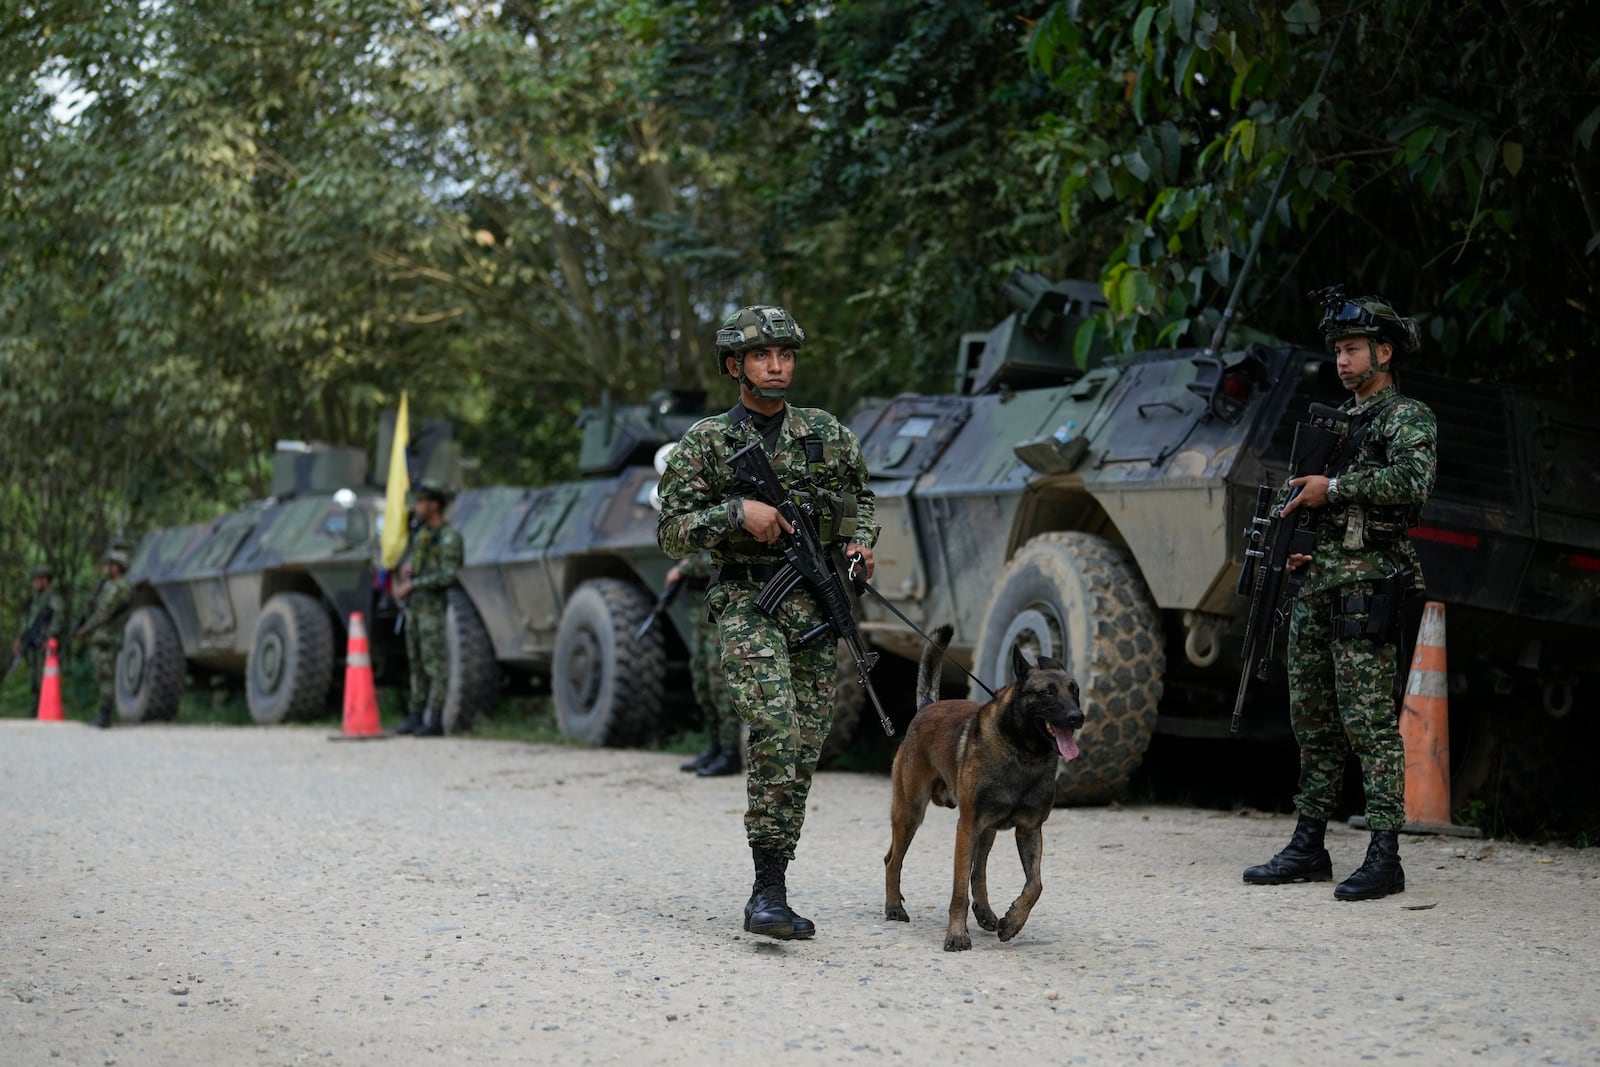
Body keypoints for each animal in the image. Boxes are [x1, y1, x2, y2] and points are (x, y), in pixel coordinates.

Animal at [876, 620, 1088, 953]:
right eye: (1047, 692)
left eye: (1075, 690)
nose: (1077, 717)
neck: (1023, 753)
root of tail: (927, 707)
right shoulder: (967, 827)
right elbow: (959, 891)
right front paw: (956, 934)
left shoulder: (1029, 830)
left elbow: (1035, 884)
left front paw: (1013, 921)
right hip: (911, 814)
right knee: (892, 860)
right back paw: (894, 906)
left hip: (986, 831)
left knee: (979, 872)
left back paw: (986, 913)